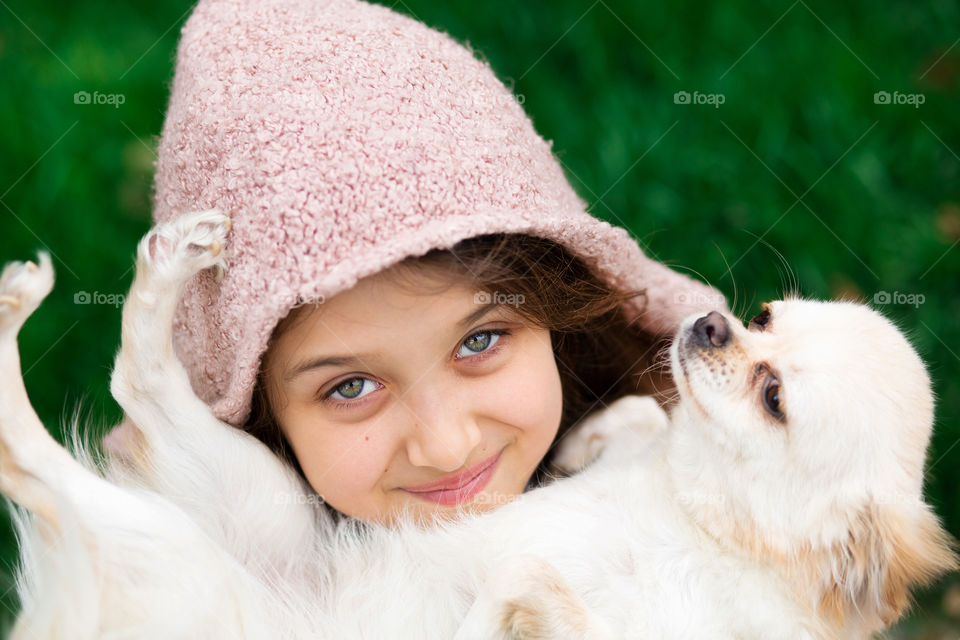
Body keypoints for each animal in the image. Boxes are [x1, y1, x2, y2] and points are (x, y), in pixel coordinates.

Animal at [0, 210, 956, 636]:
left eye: (775, 399)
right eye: (763, 315)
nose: (713, 323)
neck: (692, 517)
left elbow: (536, 603)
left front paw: (524, 595)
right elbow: (641, 416)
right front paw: (591, 439)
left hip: (202, 542)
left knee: (41, 462)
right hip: (250, 504)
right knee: (118, 394)